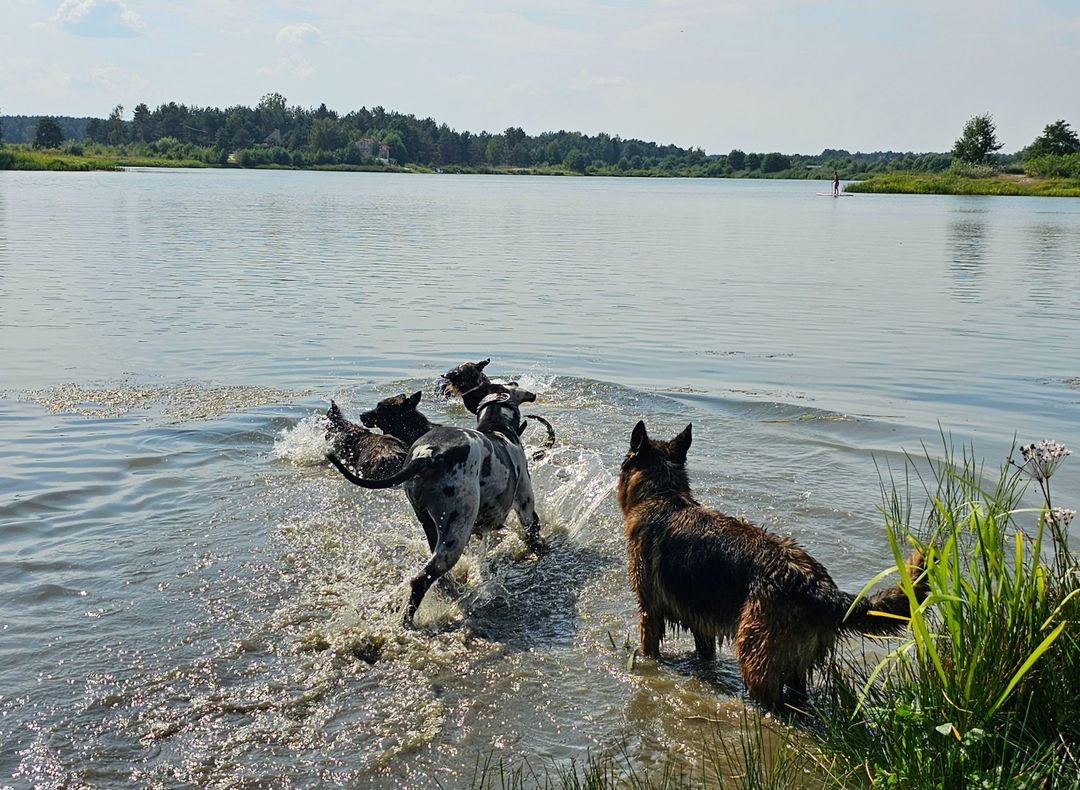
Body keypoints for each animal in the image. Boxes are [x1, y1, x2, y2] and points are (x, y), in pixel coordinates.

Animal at [328, 381, 543, 626]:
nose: (363, 415)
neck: (498, 429)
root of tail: (428, 456)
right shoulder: (527, 511)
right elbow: (534, 535)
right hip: (457, 533)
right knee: (420, 580)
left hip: (430, 525)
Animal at [617, 420, 927, 712]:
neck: (663, 494)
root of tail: (816, 584)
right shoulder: (701, 622)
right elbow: (705, 653)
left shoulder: (649, 611)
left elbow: (649, 648)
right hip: (796, 666)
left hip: (755, 654)